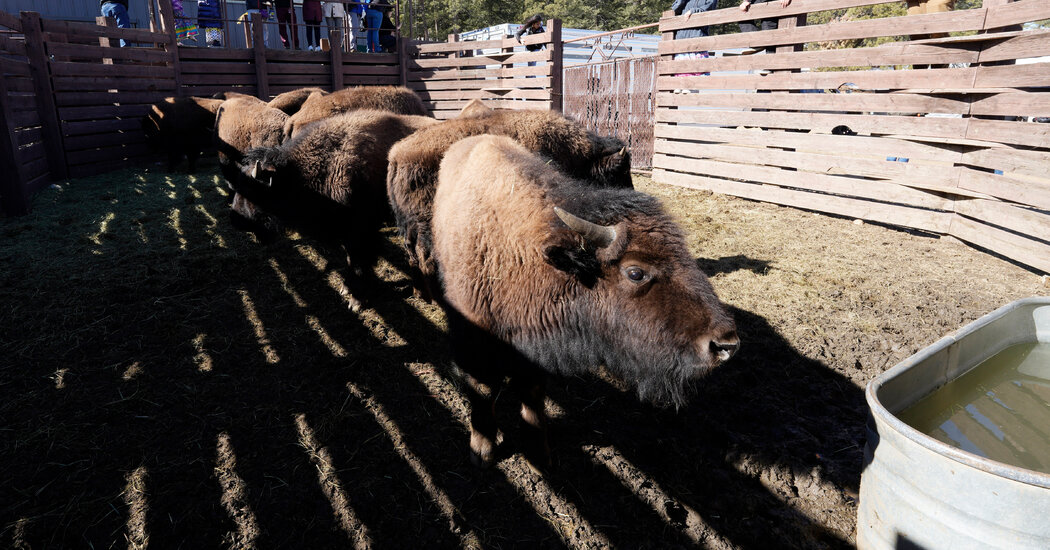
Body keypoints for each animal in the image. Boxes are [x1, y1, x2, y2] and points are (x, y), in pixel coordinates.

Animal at [432, 135, 739, 467]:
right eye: (635, 272)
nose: (726, 344)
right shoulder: (474, 342)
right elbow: (484, 390)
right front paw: (483, 451)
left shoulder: (536, 350)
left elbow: (532, 396)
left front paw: (540, 455)